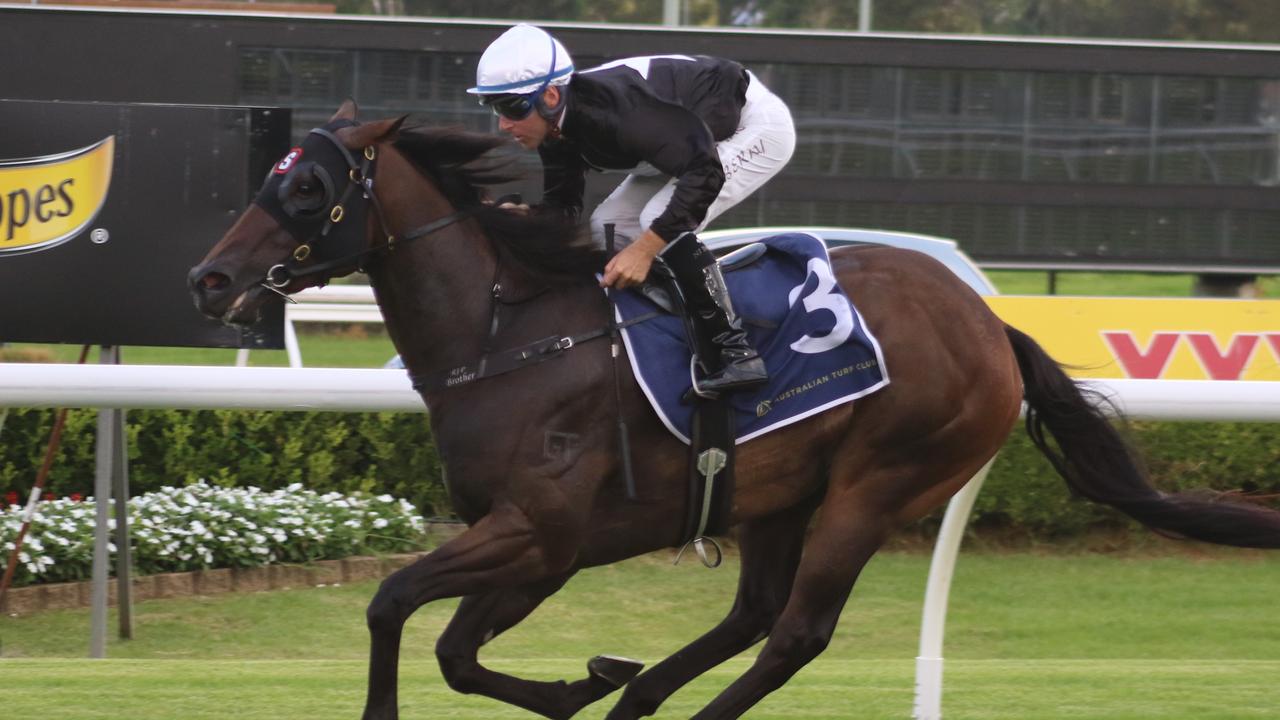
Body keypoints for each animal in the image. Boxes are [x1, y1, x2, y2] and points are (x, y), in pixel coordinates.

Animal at [185, 102, 1280, 717]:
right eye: (274, 178)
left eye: (310, 187)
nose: (210, 278)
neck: (508, 337)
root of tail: (986, 321)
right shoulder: (540, 545)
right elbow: (453, 649)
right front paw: (587, 682)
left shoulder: (541, 531)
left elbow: (393, 604)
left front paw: (573, 685)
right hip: (776, 490)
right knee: (753, 612)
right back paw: (638, 696)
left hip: (878, 483)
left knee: (794, 633)